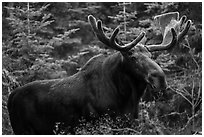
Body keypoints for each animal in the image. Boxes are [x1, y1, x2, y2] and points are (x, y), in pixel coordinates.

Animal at [6, 12, 191, 134]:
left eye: (151, 55)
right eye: (132, 56)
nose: (160, 78)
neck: (127, 98)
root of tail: (10, 97)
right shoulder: (98, 124)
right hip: (23, 129)